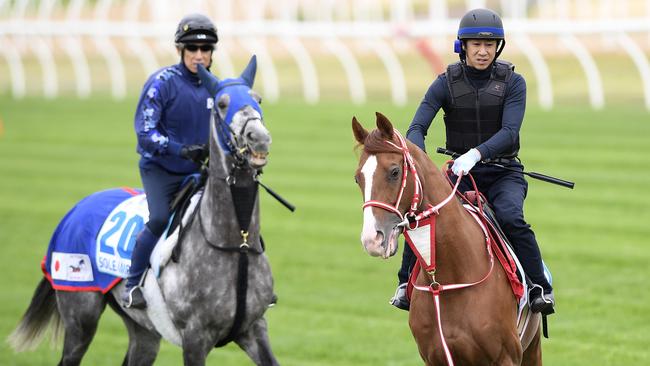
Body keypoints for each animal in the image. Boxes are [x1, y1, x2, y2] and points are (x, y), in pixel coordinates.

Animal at [8, 55, 278, 364]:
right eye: (221, 104)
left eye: (258, 99)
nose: (258, 138)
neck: (236, 243)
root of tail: (74, 210)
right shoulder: (195, 337)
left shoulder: (254, 328)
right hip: (80, 314)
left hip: (143, 330)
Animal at [352, 113, 540, 364]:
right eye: (358, 178)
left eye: (394, 172)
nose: (372, 239)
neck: (445, 281)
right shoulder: (435, 357)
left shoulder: (506, 356)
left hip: (532, 349)